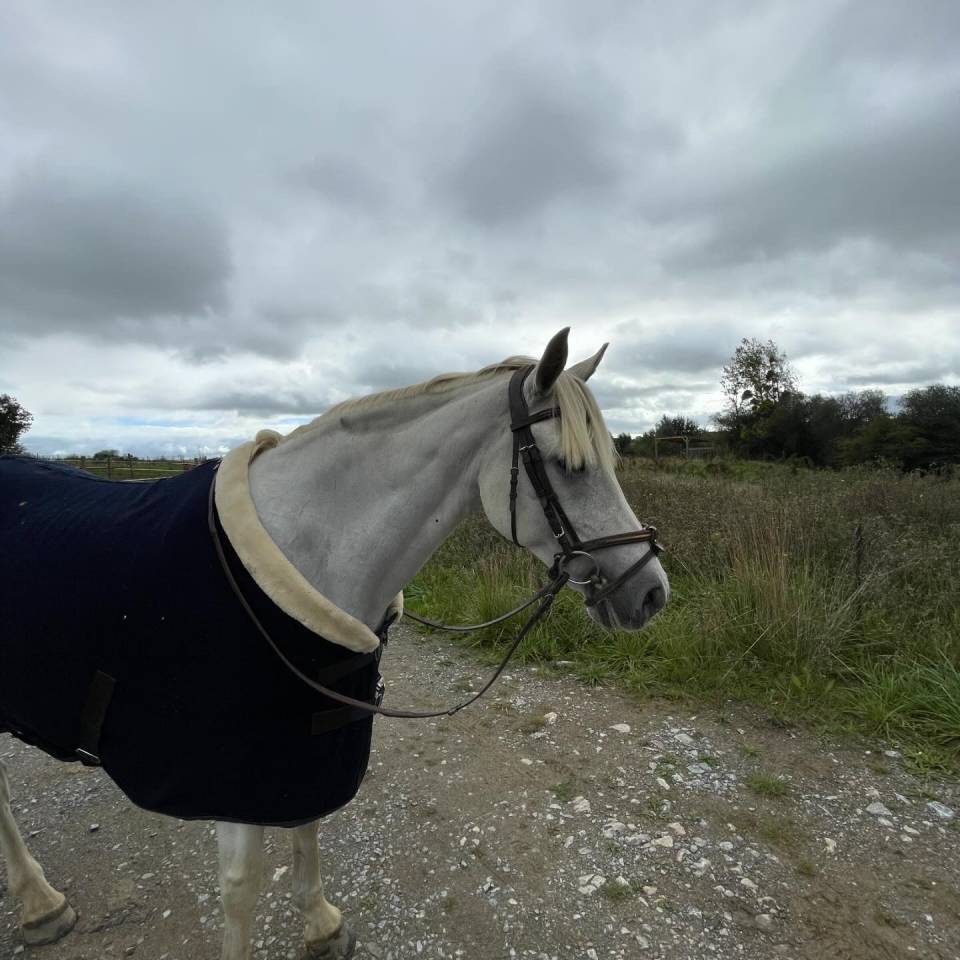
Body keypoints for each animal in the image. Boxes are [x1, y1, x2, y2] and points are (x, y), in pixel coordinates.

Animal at [0, 329, 669, 960]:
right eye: (568, 466)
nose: (652, 592)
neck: (302, 552)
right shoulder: (229, 770)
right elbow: (240, 887)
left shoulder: (306, 741)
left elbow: (308, 827)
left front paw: (321, 926)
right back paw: (40, 904)